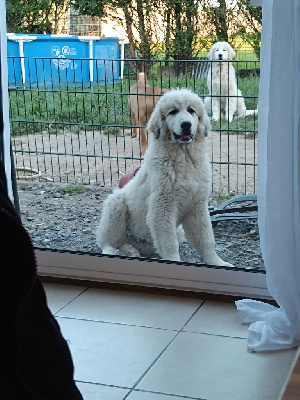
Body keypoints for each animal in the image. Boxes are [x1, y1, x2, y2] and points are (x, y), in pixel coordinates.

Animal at [96, 89, 234, 268]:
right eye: (173, 112)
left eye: (191, 111)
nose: (186, 124)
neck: (184, 156)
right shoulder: (163, 206)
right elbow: (169, 243)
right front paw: (174, 262)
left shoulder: (197, 206)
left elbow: (206, 239)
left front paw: (216, 262)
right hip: (116, 204)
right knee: (109, 242)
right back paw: (118, 251)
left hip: (176, 232)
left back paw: (132, 251)